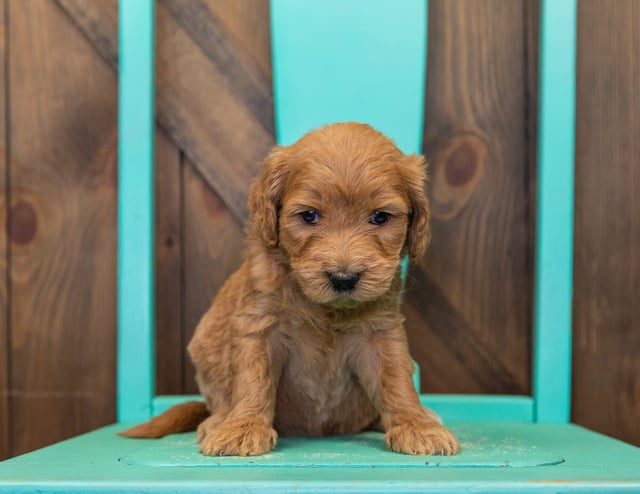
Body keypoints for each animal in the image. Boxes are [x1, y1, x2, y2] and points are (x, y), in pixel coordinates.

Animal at [120, 122, 460, 456]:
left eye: (380, 217)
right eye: (309, 215)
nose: (344, 277)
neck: (325, 308)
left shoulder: (381, 331)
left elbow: (396, 379)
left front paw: (417, 426)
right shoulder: (258, 325)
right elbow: (253, 378)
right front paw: (242, 429)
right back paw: (217, 420)